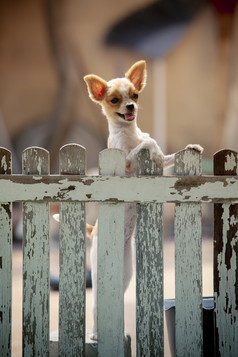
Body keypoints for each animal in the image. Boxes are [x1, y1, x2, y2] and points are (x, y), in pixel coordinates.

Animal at [84, 59, 204, 338]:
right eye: (114, 100)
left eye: (135, 96)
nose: (130, 107)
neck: (129, 132)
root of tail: (94, 230)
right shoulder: (127, 163)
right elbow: (146, 145)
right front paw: (152, 147)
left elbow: (168, 155)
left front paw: (191, 147)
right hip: (98, 269)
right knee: (94, 305)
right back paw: (94, 334)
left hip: (125, 272)